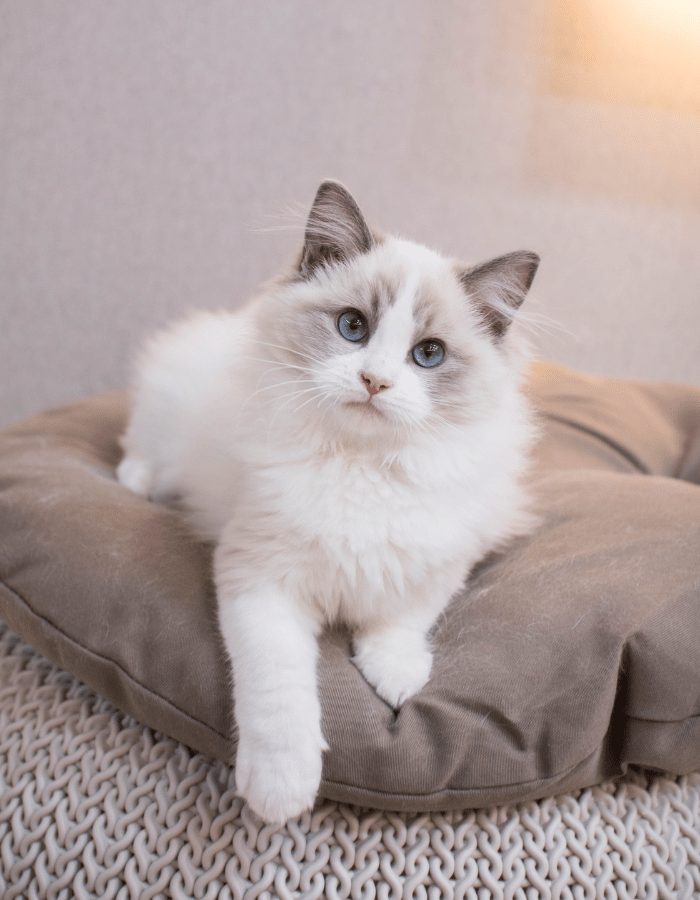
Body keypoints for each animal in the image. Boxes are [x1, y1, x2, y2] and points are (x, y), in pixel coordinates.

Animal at [117, 179, 540, 828]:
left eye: (428, 355)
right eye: (352, 327)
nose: (374, 382)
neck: (359, 467)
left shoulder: (442, 559)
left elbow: (402, 621)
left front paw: (396, 676)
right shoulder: (261, 581)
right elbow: (278, 693)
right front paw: (281, 791)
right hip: (165, 421)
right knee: (142, 451)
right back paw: (133, 480)